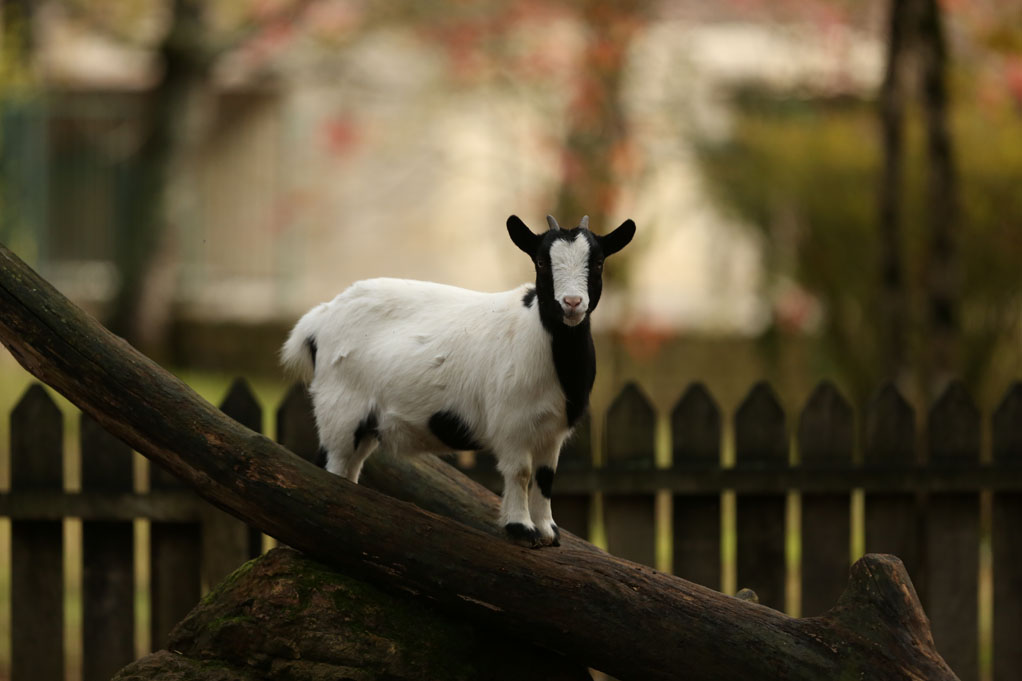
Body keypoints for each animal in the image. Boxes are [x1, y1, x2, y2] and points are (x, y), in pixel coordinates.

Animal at [280, 214, 629, 543]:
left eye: (598, 261)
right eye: (542, 262)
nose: (572, 303)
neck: (539, 336)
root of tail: (319, 319)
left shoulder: (552, 431)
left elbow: (545, 477)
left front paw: (547, 532)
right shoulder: (511, 424)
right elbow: (520, 472)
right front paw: (521, 530)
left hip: (364, 424)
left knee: (348, 469)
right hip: (340, 410)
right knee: (331, 465)